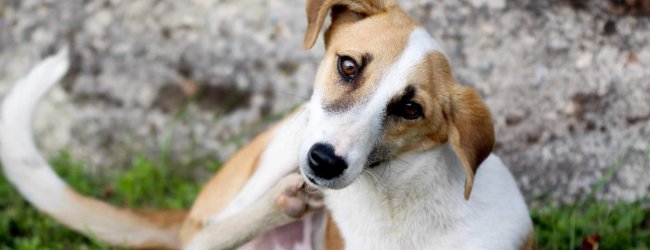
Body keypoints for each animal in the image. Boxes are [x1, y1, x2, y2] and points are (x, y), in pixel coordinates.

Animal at [0, 0, 532, 250]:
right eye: (348, 66)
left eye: (410, 109)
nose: (323, 161)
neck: (398, 206)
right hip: (278, 146)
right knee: (201, 238)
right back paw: (280, 204)